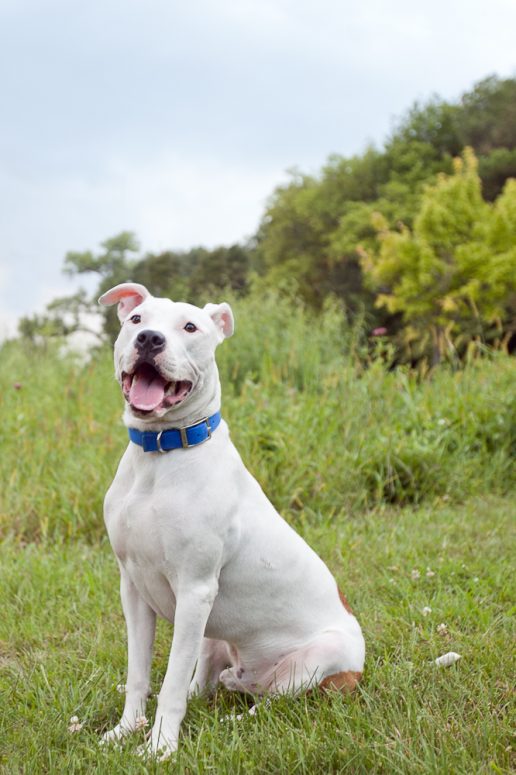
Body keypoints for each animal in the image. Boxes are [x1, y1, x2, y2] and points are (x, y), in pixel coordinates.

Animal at [97, 284, 362, 756]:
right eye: (136, 319)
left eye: (189, 327)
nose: (149, 339)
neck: (160, 453)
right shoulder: (133, 587)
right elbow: (139, 674)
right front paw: (126, 730)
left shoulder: (195, 589)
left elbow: (168, 684)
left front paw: (159, 747)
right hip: (213, 632)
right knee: (205, 680)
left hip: (318, 658)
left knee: (274, 703)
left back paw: (236, 719)